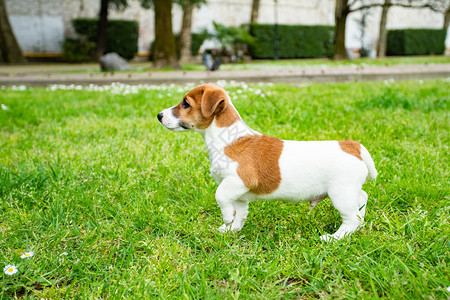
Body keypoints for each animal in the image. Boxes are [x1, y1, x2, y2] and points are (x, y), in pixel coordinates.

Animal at [158, 84, 376, 241]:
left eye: (185, 104)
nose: (159, 116)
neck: (226, 138)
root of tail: (351, 146)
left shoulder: (238, 181)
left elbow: (220, 196)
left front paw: (227, 217)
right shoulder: (239, 194)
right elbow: (240, 212)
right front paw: (231, 229)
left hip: (341, 194)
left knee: (351, 219)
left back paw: (334, 238)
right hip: (349, 191)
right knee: (362, 200)